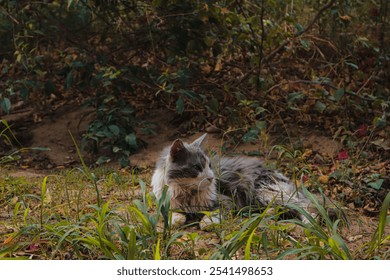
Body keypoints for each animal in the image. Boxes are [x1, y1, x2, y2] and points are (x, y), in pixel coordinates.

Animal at [151, 133, 318, 228]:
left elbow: (211, 216)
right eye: (197, 167)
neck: (186, 192)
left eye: (210, 166)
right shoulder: (166, 202)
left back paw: (310, 223)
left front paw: (206, 222)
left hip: (265, 191)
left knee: (306, 206)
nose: (211, 178)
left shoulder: (226, 201)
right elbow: (172, 215)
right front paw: (177, 219)